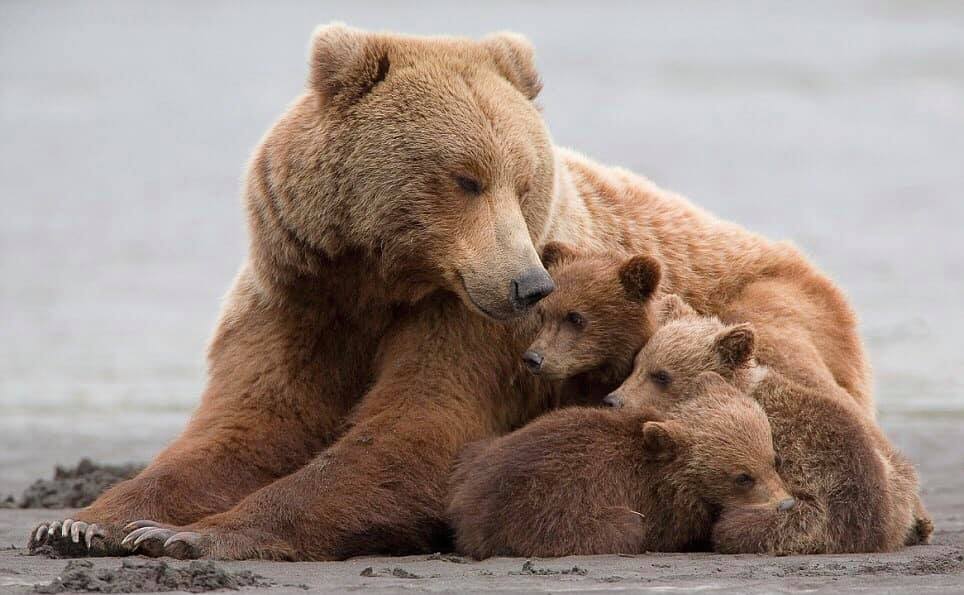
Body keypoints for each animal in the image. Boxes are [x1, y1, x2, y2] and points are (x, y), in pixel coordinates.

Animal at [30, 24, 872, 564]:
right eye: (466, 177)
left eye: (522, 179)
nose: (530, 283)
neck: (379, 282)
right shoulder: (298, 297)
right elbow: (250, 425)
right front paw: (85, 522)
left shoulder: (468, 325)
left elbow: (418, 430)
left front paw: (195, 534)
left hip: (767, 306)